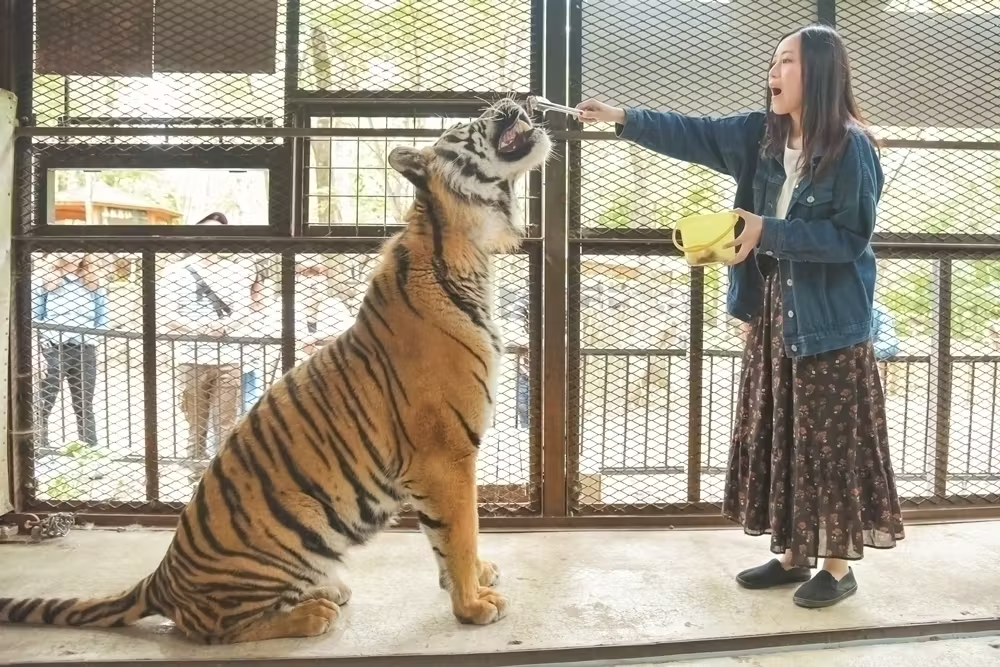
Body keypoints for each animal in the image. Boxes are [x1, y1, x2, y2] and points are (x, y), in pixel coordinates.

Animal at [0, 96, 552, 644]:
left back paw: (325, 591)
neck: (465, 243)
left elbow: (449, 536)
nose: (518, 98)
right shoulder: (446, 453)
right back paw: (313, 613)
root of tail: (161, 578)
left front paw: (476, 579)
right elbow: (460, 530)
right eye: (466, 124)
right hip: (290, 531)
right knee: (214, 628)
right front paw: (473, 605)